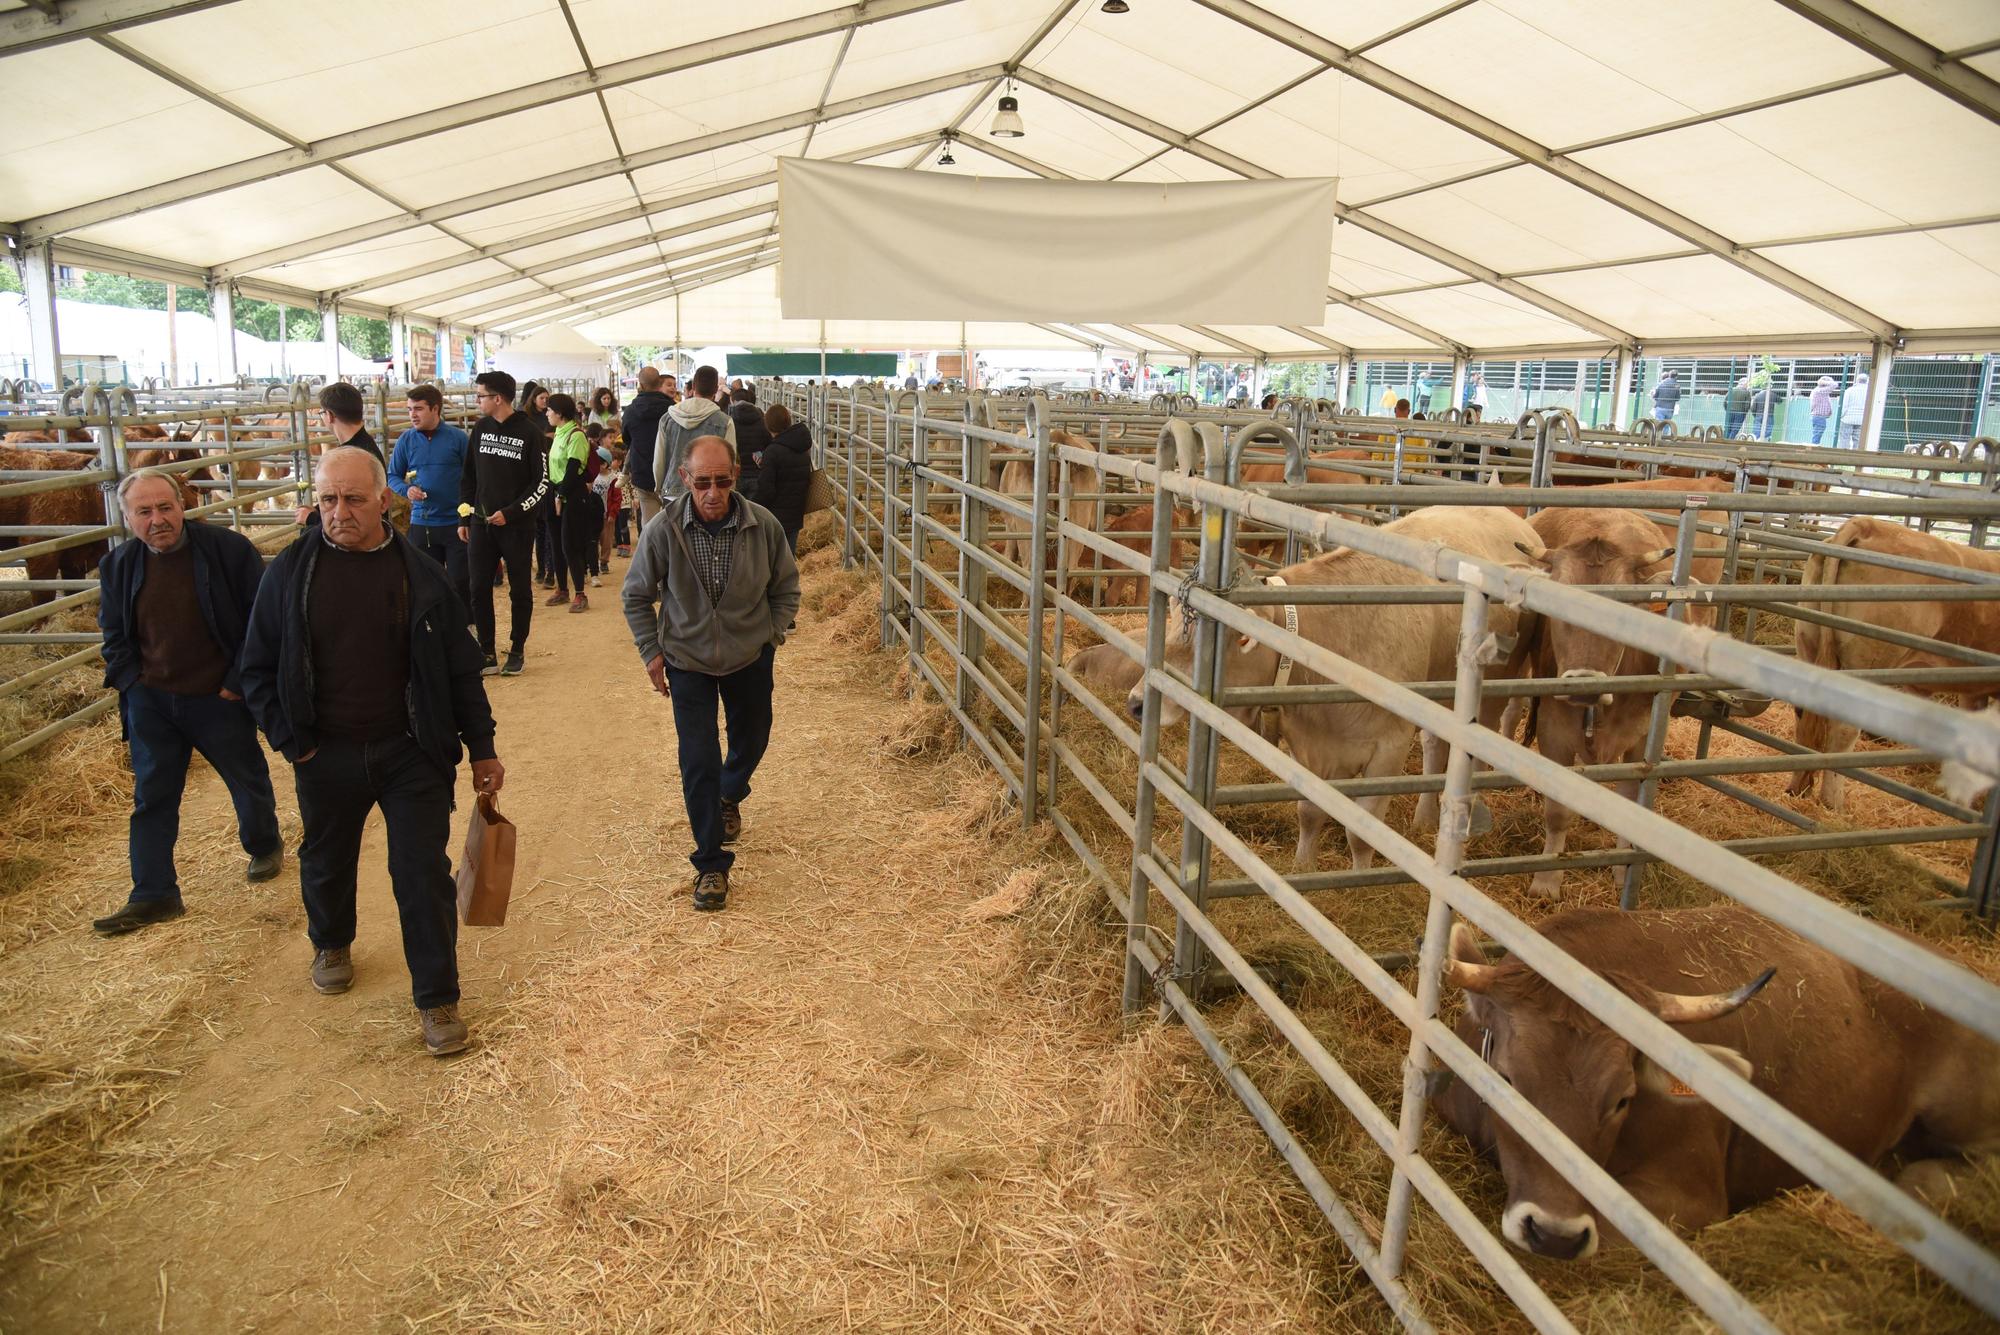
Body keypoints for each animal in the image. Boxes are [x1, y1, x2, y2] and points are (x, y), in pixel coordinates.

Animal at [1128, 505, 1544, 871]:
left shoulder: (1389, 747)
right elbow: (1309, 812)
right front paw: (1303, 866)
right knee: (1434, 747)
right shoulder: (1310, 748)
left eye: (1237, 638)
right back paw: (1425, 816)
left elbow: (1362, 832)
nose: (1136, 703)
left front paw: (1358, 880)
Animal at [1792, 515, 2000, 807]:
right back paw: (1833, 802)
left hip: (1808, 642)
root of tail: (1867, 525)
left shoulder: (1973, 691)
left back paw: (1798, 789)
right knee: (1844, 729)